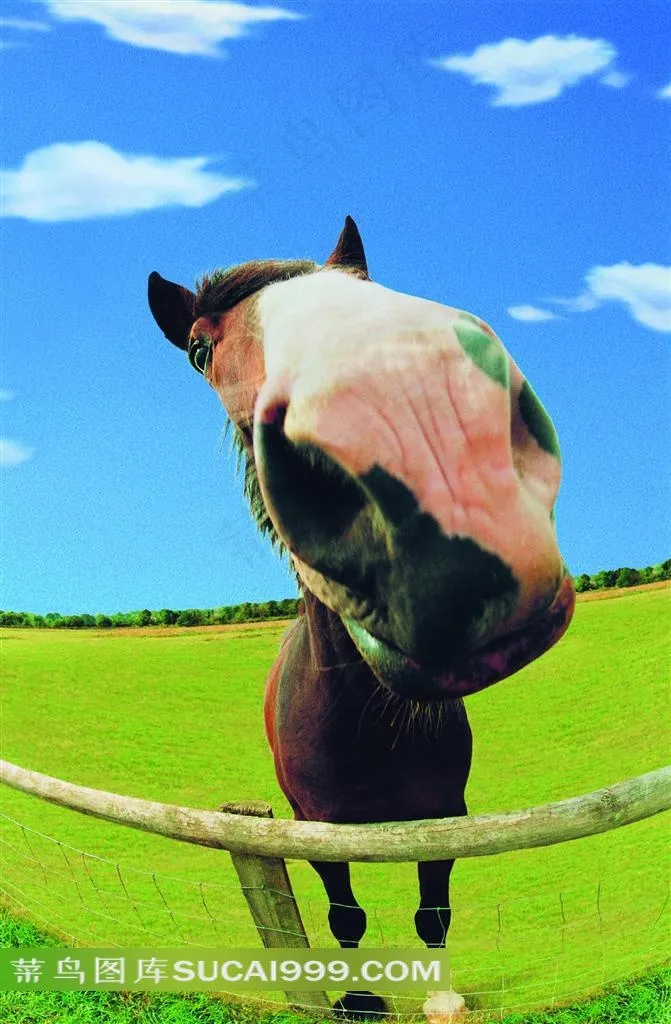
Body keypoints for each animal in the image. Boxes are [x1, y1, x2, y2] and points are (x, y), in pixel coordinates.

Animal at [148, 217, 575, 1019]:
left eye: (365, 285)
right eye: (197, 350)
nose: (419, 424)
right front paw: (355, 993)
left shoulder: (442, 818)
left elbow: (432, 911)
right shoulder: (318, 833)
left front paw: (440, 997)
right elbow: (345, 916)